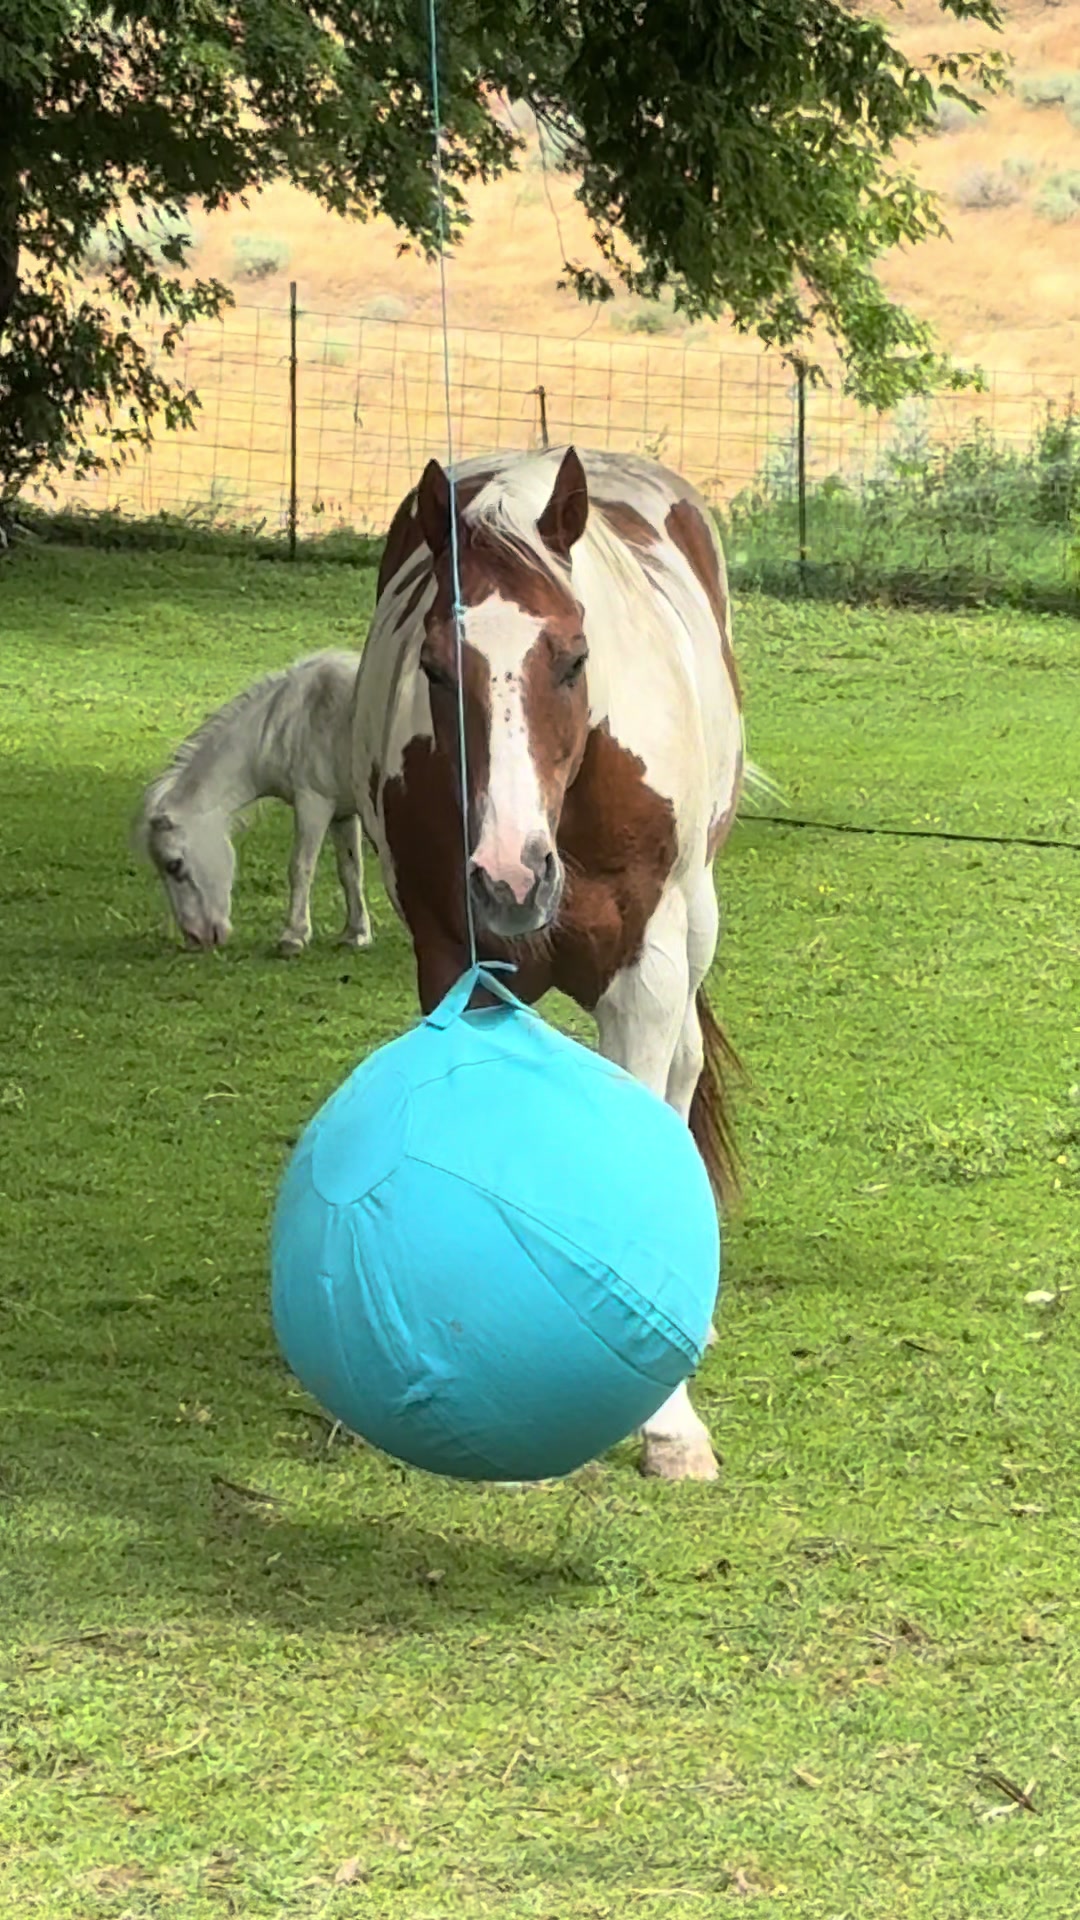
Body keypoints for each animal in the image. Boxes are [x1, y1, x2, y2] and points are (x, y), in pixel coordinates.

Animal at [137, 651, 371, 956]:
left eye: (174, 865)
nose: (196, 939)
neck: (298, 718)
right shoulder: (342, 813)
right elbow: (351, 871)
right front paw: (357, 934)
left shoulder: (314, 804)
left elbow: (301, 867)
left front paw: (293, 937)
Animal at [352, 445, 747, 1483]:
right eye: (435, 666)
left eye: (572, 659)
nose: (509, 873)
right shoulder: (456, 965)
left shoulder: (647, 973)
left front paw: (669, 1424)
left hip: (694, 932)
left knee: (683, 1078)